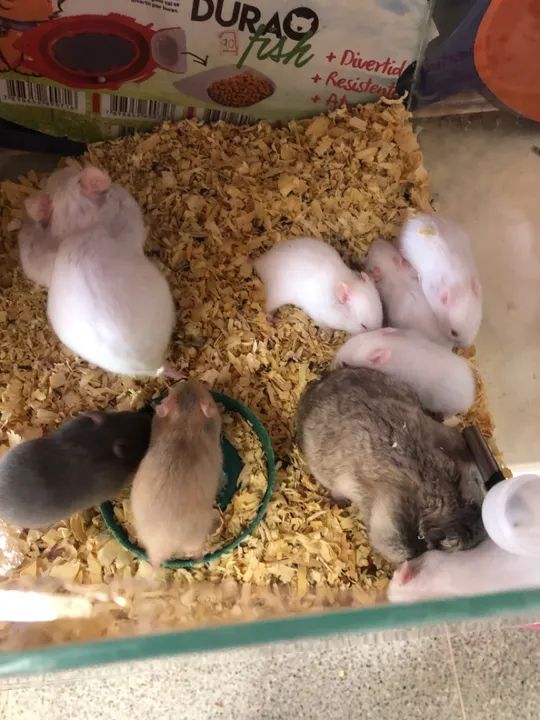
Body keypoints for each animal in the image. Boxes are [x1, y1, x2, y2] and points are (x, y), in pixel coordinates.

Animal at [253, 237, 383, 334]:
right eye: (363, 326)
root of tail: (260, 262)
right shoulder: (320, 318)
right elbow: (325, 327)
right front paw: (329, 334)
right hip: (276, 296)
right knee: (267, 308)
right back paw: (272, 320)